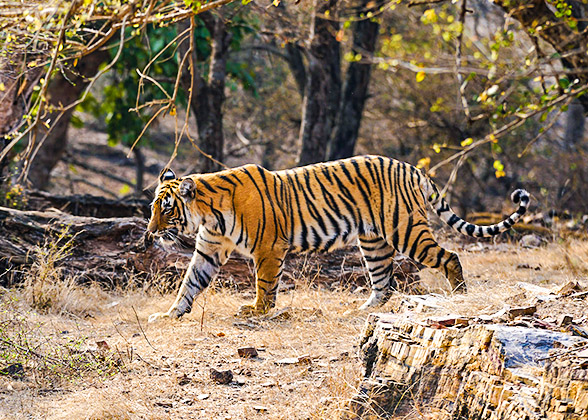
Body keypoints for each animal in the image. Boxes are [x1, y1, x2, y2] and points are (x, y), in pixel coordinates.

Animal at [145, 154, 532, 322]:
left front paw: (257, 310)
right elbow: (189, 283)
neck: (209, 214)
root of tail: (412, 168)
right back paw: (362, 309)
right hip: (374, 242)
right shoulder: (209, 250)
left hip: (406, 230)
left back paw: (459, 296)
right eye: (153, 208)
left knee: (450, 256)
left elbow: (264, 284)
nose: (149, 234)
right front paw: (169, 313)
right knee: (385, 282)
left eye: (166, 209)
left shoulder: (268, 248)